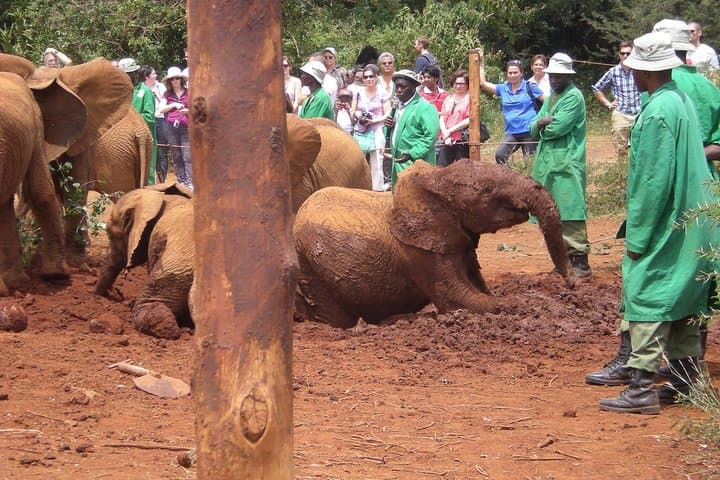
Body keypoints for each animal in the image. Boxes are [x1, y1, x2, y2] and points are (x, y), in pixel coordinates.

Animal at [293, 159, 578, 328]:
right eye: (487, 190)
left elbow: (479, 290)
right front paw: (531, 304)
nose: (572, 284)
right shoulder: (420, 251)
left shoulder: (457, 240)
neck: (437, 178)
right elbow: (458, 298)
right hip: (310, 263)